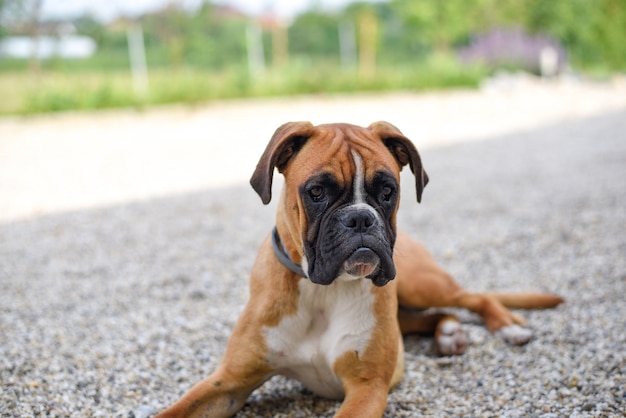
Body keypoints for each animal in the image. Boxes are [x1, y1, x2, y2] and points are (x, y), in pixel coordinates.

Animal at [155, 121, 560, 418]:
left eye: (388, 191)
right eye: (317, 192)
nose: (361, 218)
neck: (322, 290)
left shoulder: (366, 387)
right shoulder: (228, 382)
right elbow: (174, 411)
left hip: (419, 283)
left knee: (472, 297)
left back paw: (506, 327)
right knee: (436, 315)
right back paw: (449, 334)